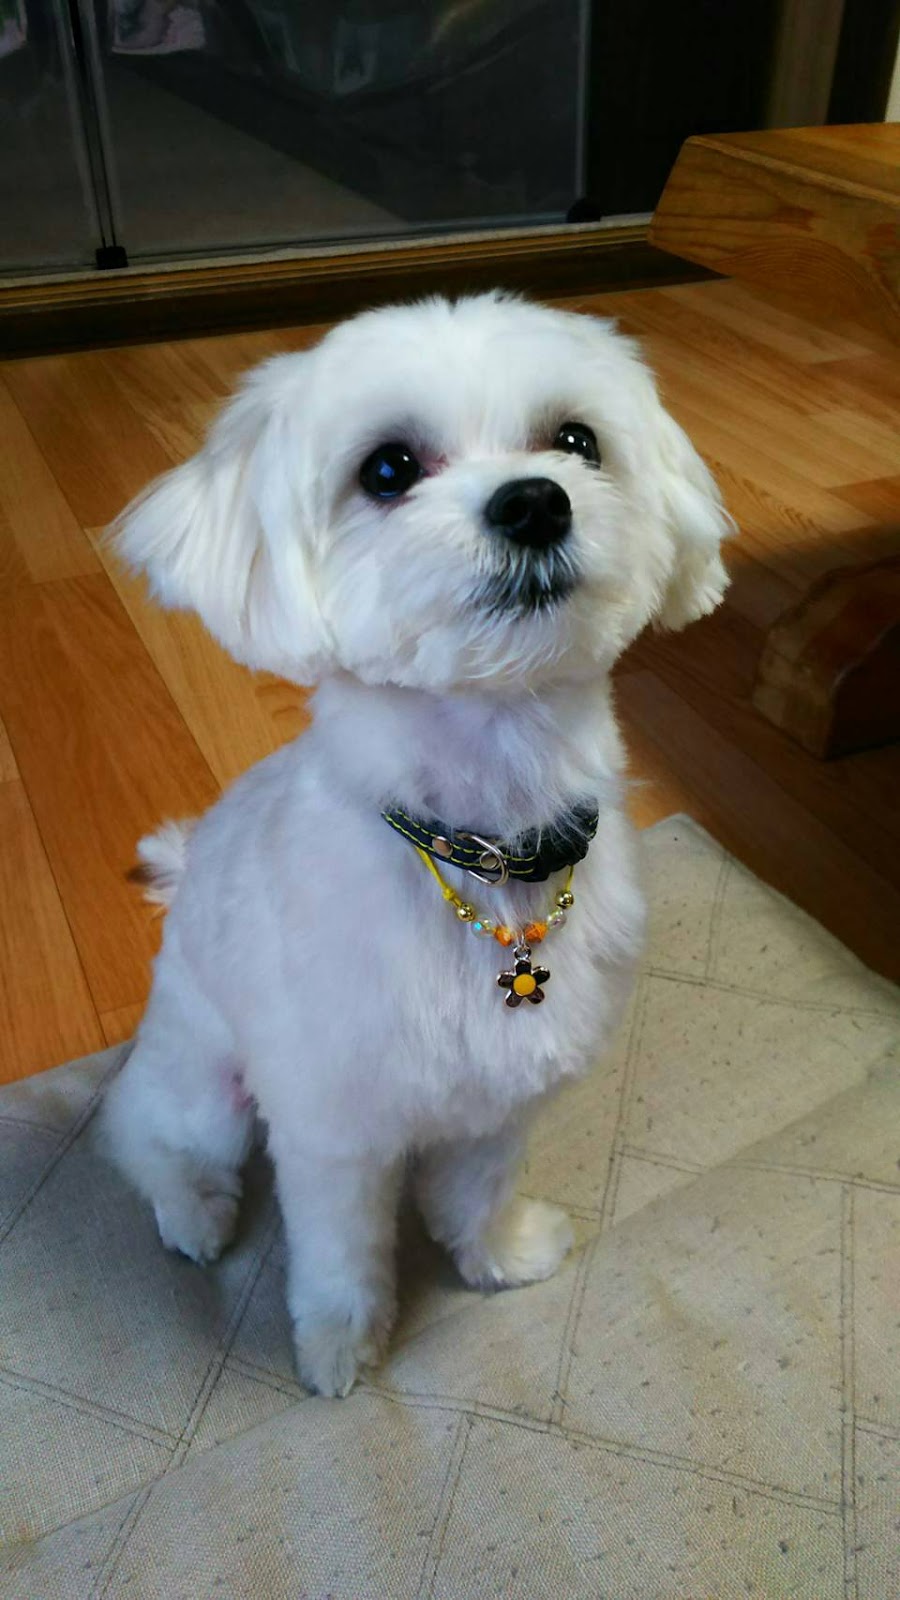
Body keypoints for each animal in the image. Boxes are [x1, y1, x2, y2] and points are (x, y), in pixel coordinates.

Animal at [101, 292, 730, 1396]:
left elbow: (478, 1189)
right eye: (388, 469)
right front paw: (338, 1350)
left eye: (577, 441)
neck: (485, 839)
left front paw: (495, 1257)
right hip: (208, 1083)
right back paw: (194, 1214)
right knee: (149, 1136)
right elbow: (341, 1255)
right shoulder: (331, 1132)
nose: (536, 504)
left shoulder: (502, 1099)